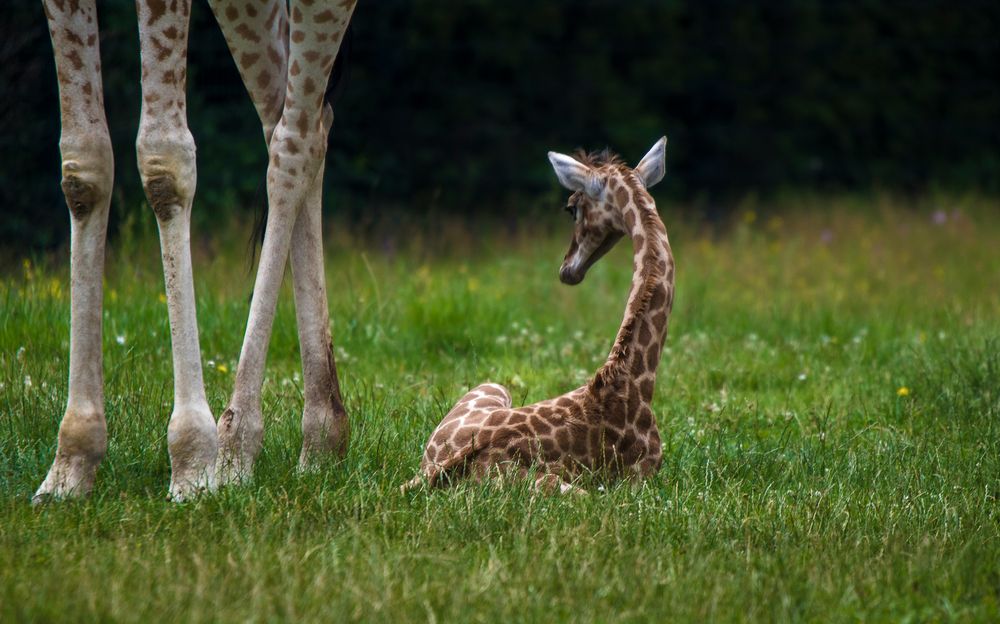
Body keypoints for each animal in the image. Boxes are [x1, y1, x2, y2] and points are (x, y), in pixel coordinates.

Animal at [402, 136, 676, 492]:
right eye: (570, 207)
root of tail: (430, 472)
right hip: (558, 487)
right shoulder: (645, 476)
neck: (629, 380)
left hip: (488, 389)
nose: (567, 268)